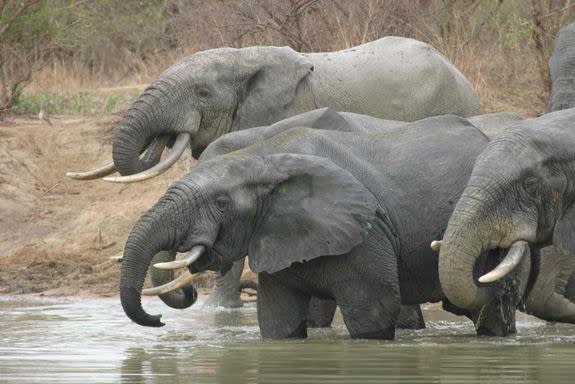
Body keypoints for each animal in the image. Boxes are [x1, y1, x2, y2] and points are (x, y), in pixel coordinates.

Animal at [119, 114, 532, 340]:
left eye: (221, 203)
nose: (159, 319)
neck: (264, 156)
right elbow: (277, 319)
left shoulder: (365, 231)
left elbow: (374, 311)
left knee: (493, 306)